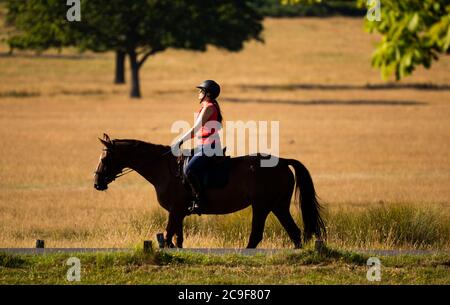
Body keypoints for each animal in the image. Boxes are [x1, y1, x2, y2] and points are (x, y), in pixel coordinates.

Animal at [93, 132, 326, 247]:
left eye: (104, 158)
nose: (97, 183)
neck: (164, 169)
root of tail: (282, 162)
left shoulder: (174, 211)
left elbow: (167, 238)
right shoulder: (179, 213)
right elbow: (177, 239)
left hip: (262, 206)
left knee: (257, 235)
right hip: (278, 206)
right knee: (294, 233)